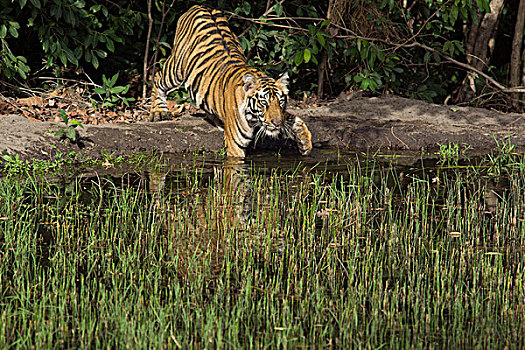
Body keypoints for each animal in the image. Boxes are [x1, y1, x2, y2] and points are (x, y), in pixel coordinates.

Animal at [147, 4, 312, 158]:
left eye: (280, 102)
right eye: (263, 102)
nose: (277, 123)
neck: (253, 117)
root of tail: (200, 5)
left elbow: (294, 119)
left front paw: (305, 142)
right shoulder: (235, 146)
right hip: (177, 68)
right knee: (158, 77)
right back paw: (158, 112)